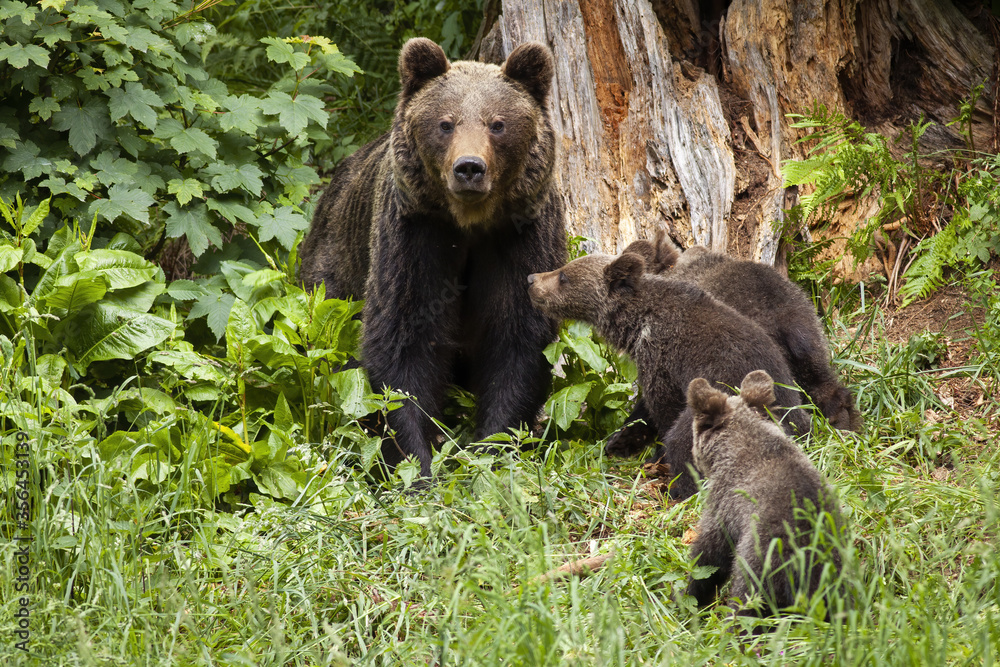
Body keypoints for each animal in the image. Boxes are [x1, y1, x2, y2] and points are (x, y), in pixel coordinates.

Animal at [296, 39, 568, 478]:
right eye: (446, 123)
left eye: (497, 123)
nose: (469, 168)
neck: (470, 222)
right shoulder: (415, 236)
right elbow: (402, 340)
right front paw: (415, 463)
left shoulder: (522, 236)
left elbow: (517, 338)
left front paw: (488, 451)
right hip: (333, 275)